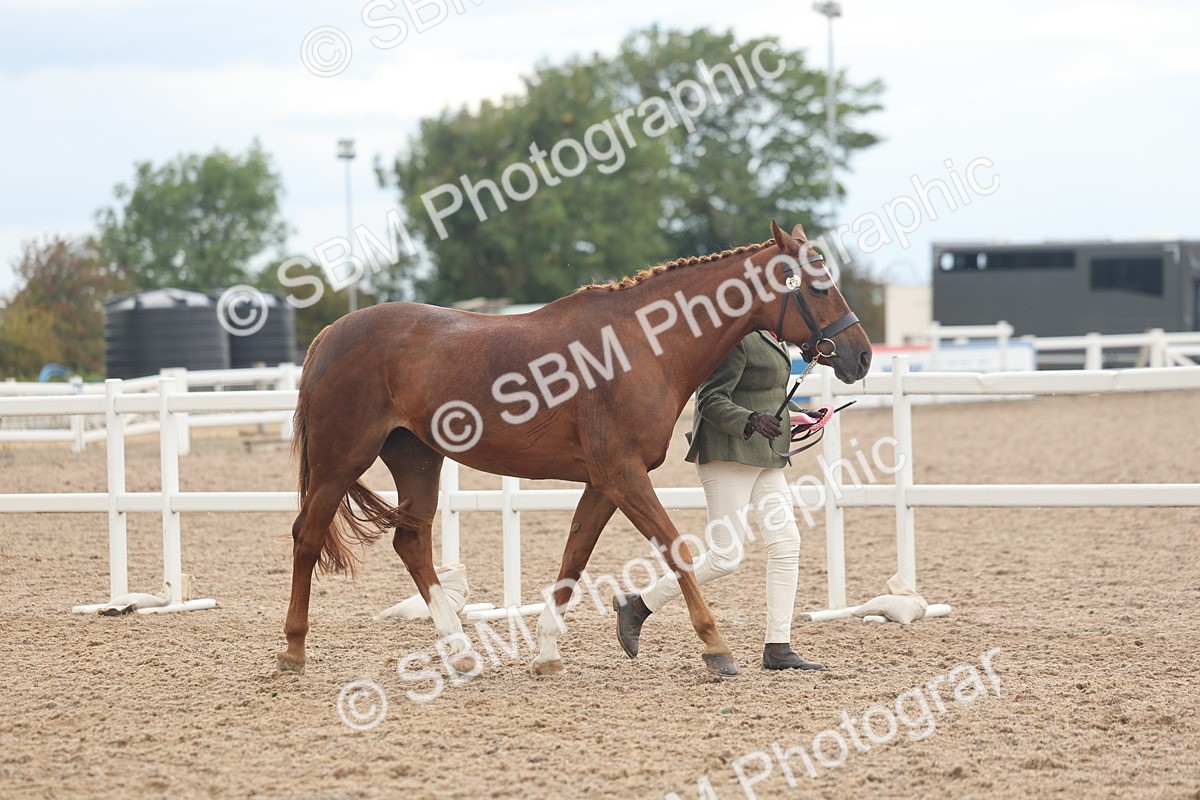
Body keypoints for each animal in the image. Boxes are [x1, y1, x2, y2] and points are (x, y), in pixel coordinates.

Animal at [278, 220, 872, 677]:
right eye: (818, 285)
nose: (861, 356)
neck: (642, 344)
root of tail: (329, 334)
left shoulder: (604, 482)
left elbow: (575, 557)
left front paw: (546, 654)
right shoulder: (624, 475)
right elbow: (676, 550)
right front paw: (716, 648)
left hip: (417, 457)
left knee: (411, 542)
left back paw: (462, 651)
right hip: (341, 459)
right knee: (308, 536)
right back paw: (293, 650)